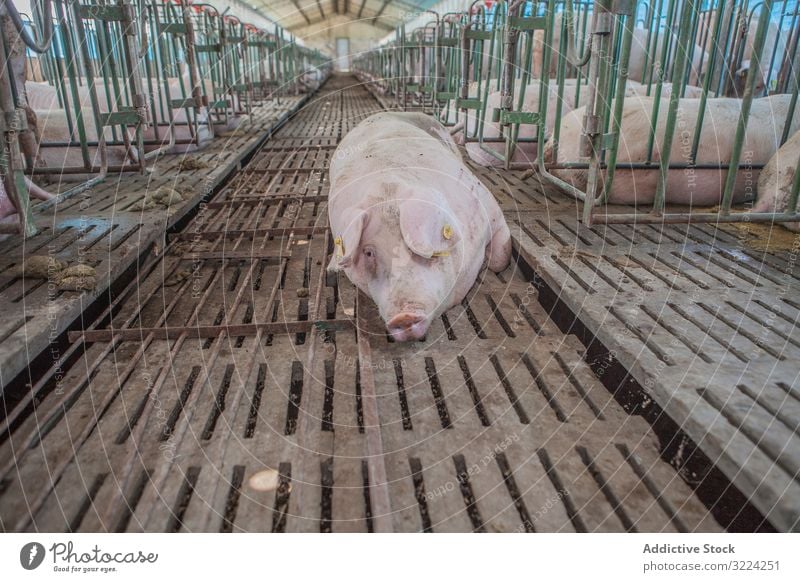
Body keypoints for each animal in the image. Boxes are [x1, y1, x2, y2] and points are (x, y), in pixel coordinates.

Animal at [326, 110, 510, 342]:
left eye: (411, 246)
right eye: (368, 252)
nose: (403, 317)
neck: (388, 193)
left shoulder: (490, 207)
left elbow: (500, 258)